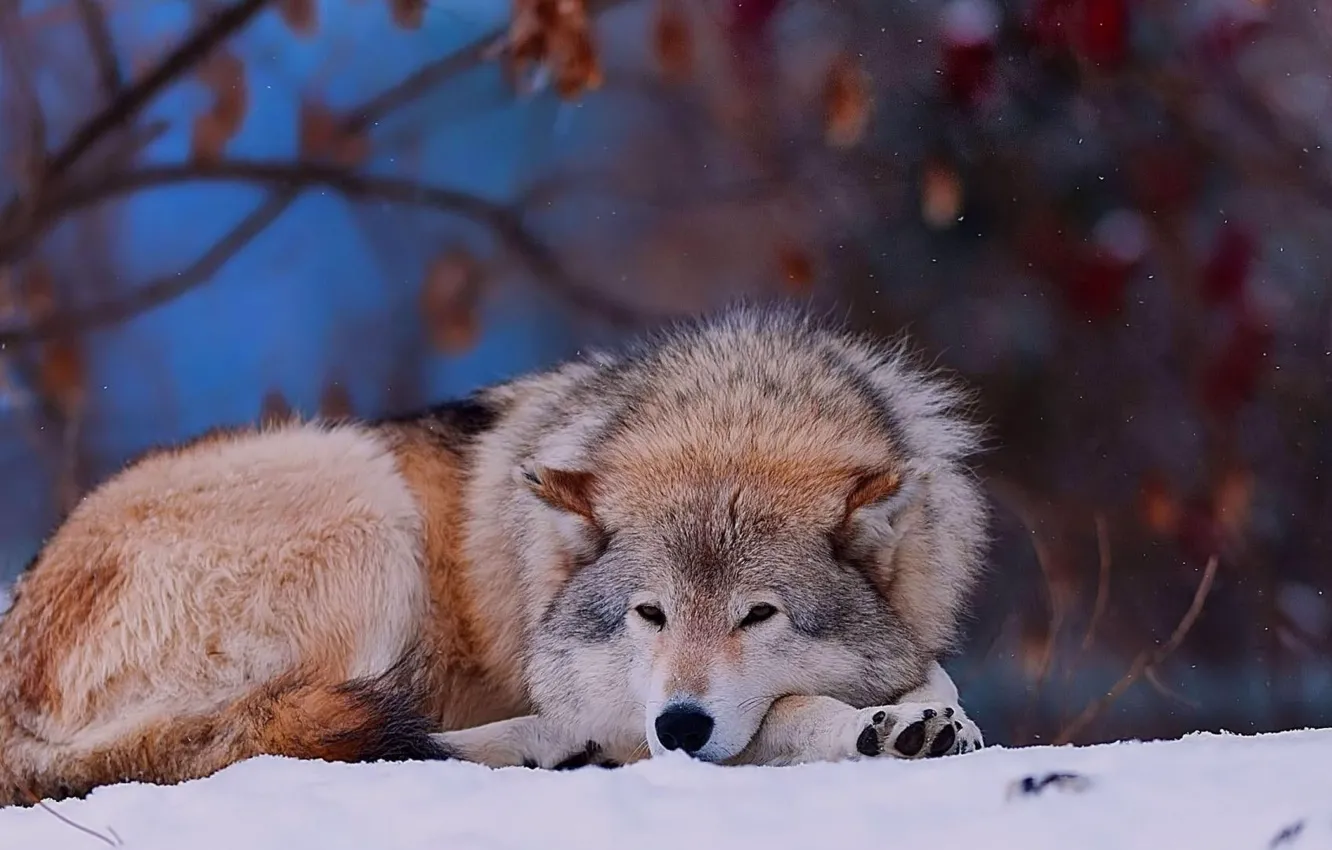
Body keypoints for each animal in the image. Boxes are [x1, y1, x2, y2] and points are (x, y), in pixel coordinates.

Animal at [0, 304, 988, 803]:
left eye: (759, 615)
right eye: (650, 614)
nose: (679, 724)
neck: (733, 409)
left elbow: (930, 672)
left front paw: (929, 716)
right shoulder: (629, 699)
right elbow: (782, 714)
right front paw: (877, 729)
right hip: (362, 498)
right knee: (293, 745)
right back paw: (556, 749)